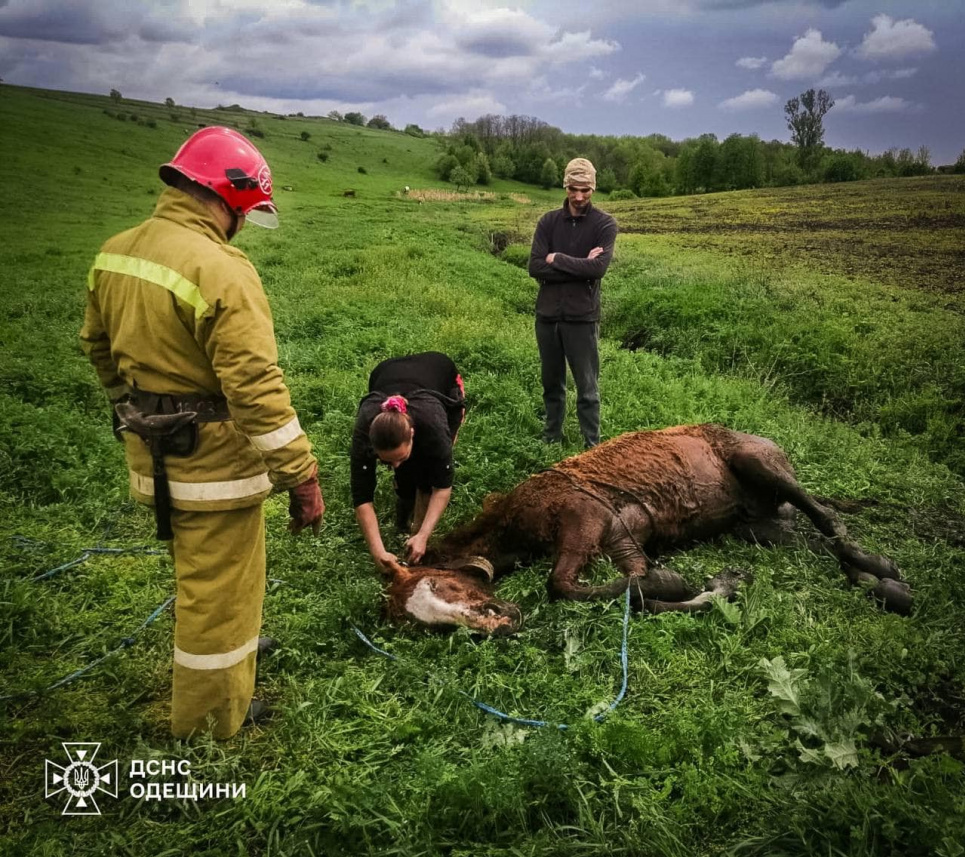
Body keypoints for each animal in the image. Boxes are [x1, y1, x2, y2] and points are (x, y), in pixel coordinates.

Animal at [378, 424, 912, 632]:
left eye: (446, 584)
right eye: (418, 624)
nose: (502, 624)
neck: (520, 515)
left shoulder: (585, 522)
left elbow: (562, 585)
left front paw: (677, 581)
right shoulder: (620, 536)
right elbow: (638, 592)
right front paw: (719, 586)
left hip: (762, 467)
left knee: (827, 517)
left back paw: (881, 571)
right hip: (757, 526)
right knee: (811, 538)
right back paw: (875, 580)